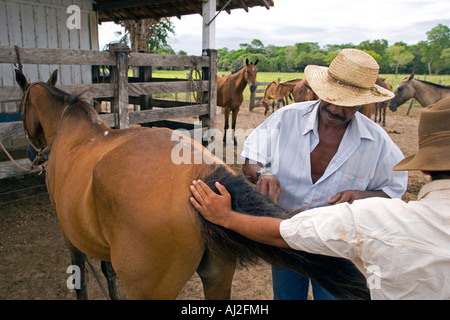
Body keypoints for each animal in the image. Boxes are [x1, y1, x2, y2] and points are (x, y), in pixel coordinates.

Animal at [14, 67, 372, 300]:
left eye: (20, 105)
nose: (32, 149)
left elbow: (82, 280)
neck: (72, 129)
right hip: (218, 280)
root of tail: (199, 172)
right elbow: (108, 272)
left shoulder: (71, 237)